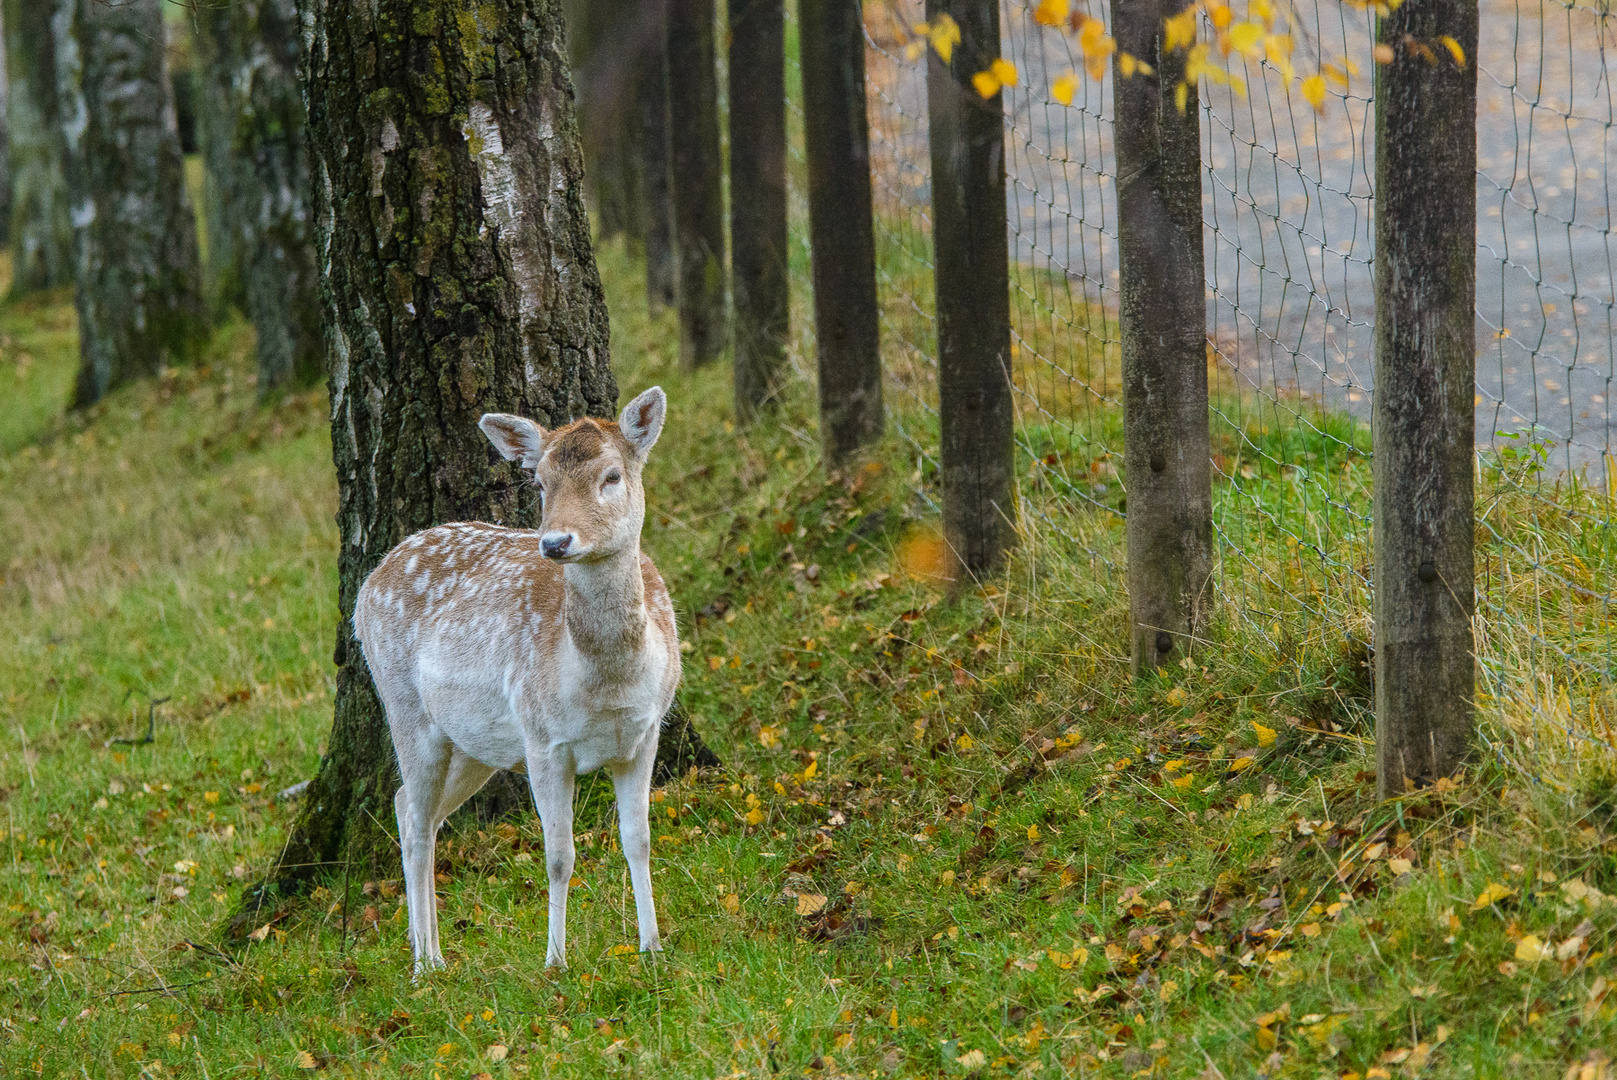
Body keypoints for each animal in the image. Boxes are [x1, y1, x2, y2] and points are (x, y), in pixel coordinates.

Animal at [350, 386, 679, 970]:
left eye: (612, 475)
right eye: (540, 482)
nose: (555, 542)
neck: (608, 685)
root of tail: (365, 587)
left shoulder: (643, 734)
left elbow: (638, 839)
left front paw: (652, 949)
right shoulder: (543, 738)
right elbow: (559, 855)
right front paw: (556, 961)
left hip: (473, 745)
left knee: (411, 809)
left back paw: (430, 952)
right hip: (405, 708)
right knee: (415, 822)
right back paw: (424, 964)